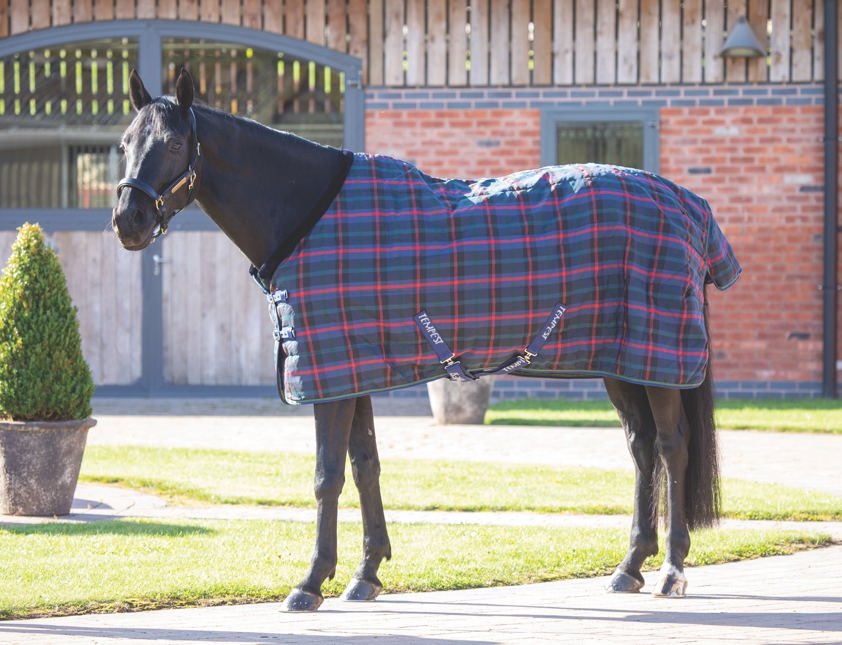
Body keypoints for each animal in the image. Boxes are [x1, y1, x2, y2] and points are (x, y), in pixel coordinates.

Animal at [113, 69, 736, 608]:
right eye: (124, 143)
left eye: (174, 143)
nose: (128, 220)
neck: (310, 214)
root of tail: (691, 207)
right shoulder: (350, 368)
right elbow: (364, 465)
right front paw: (366, 574)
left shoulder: (327, 376)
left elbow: (326, 477)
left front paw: (310, 582)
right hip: (623, 362)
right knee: (641, 448)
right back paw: (629, 567)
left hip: (657, 360)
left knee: (672, 447)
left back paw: (672, 570)